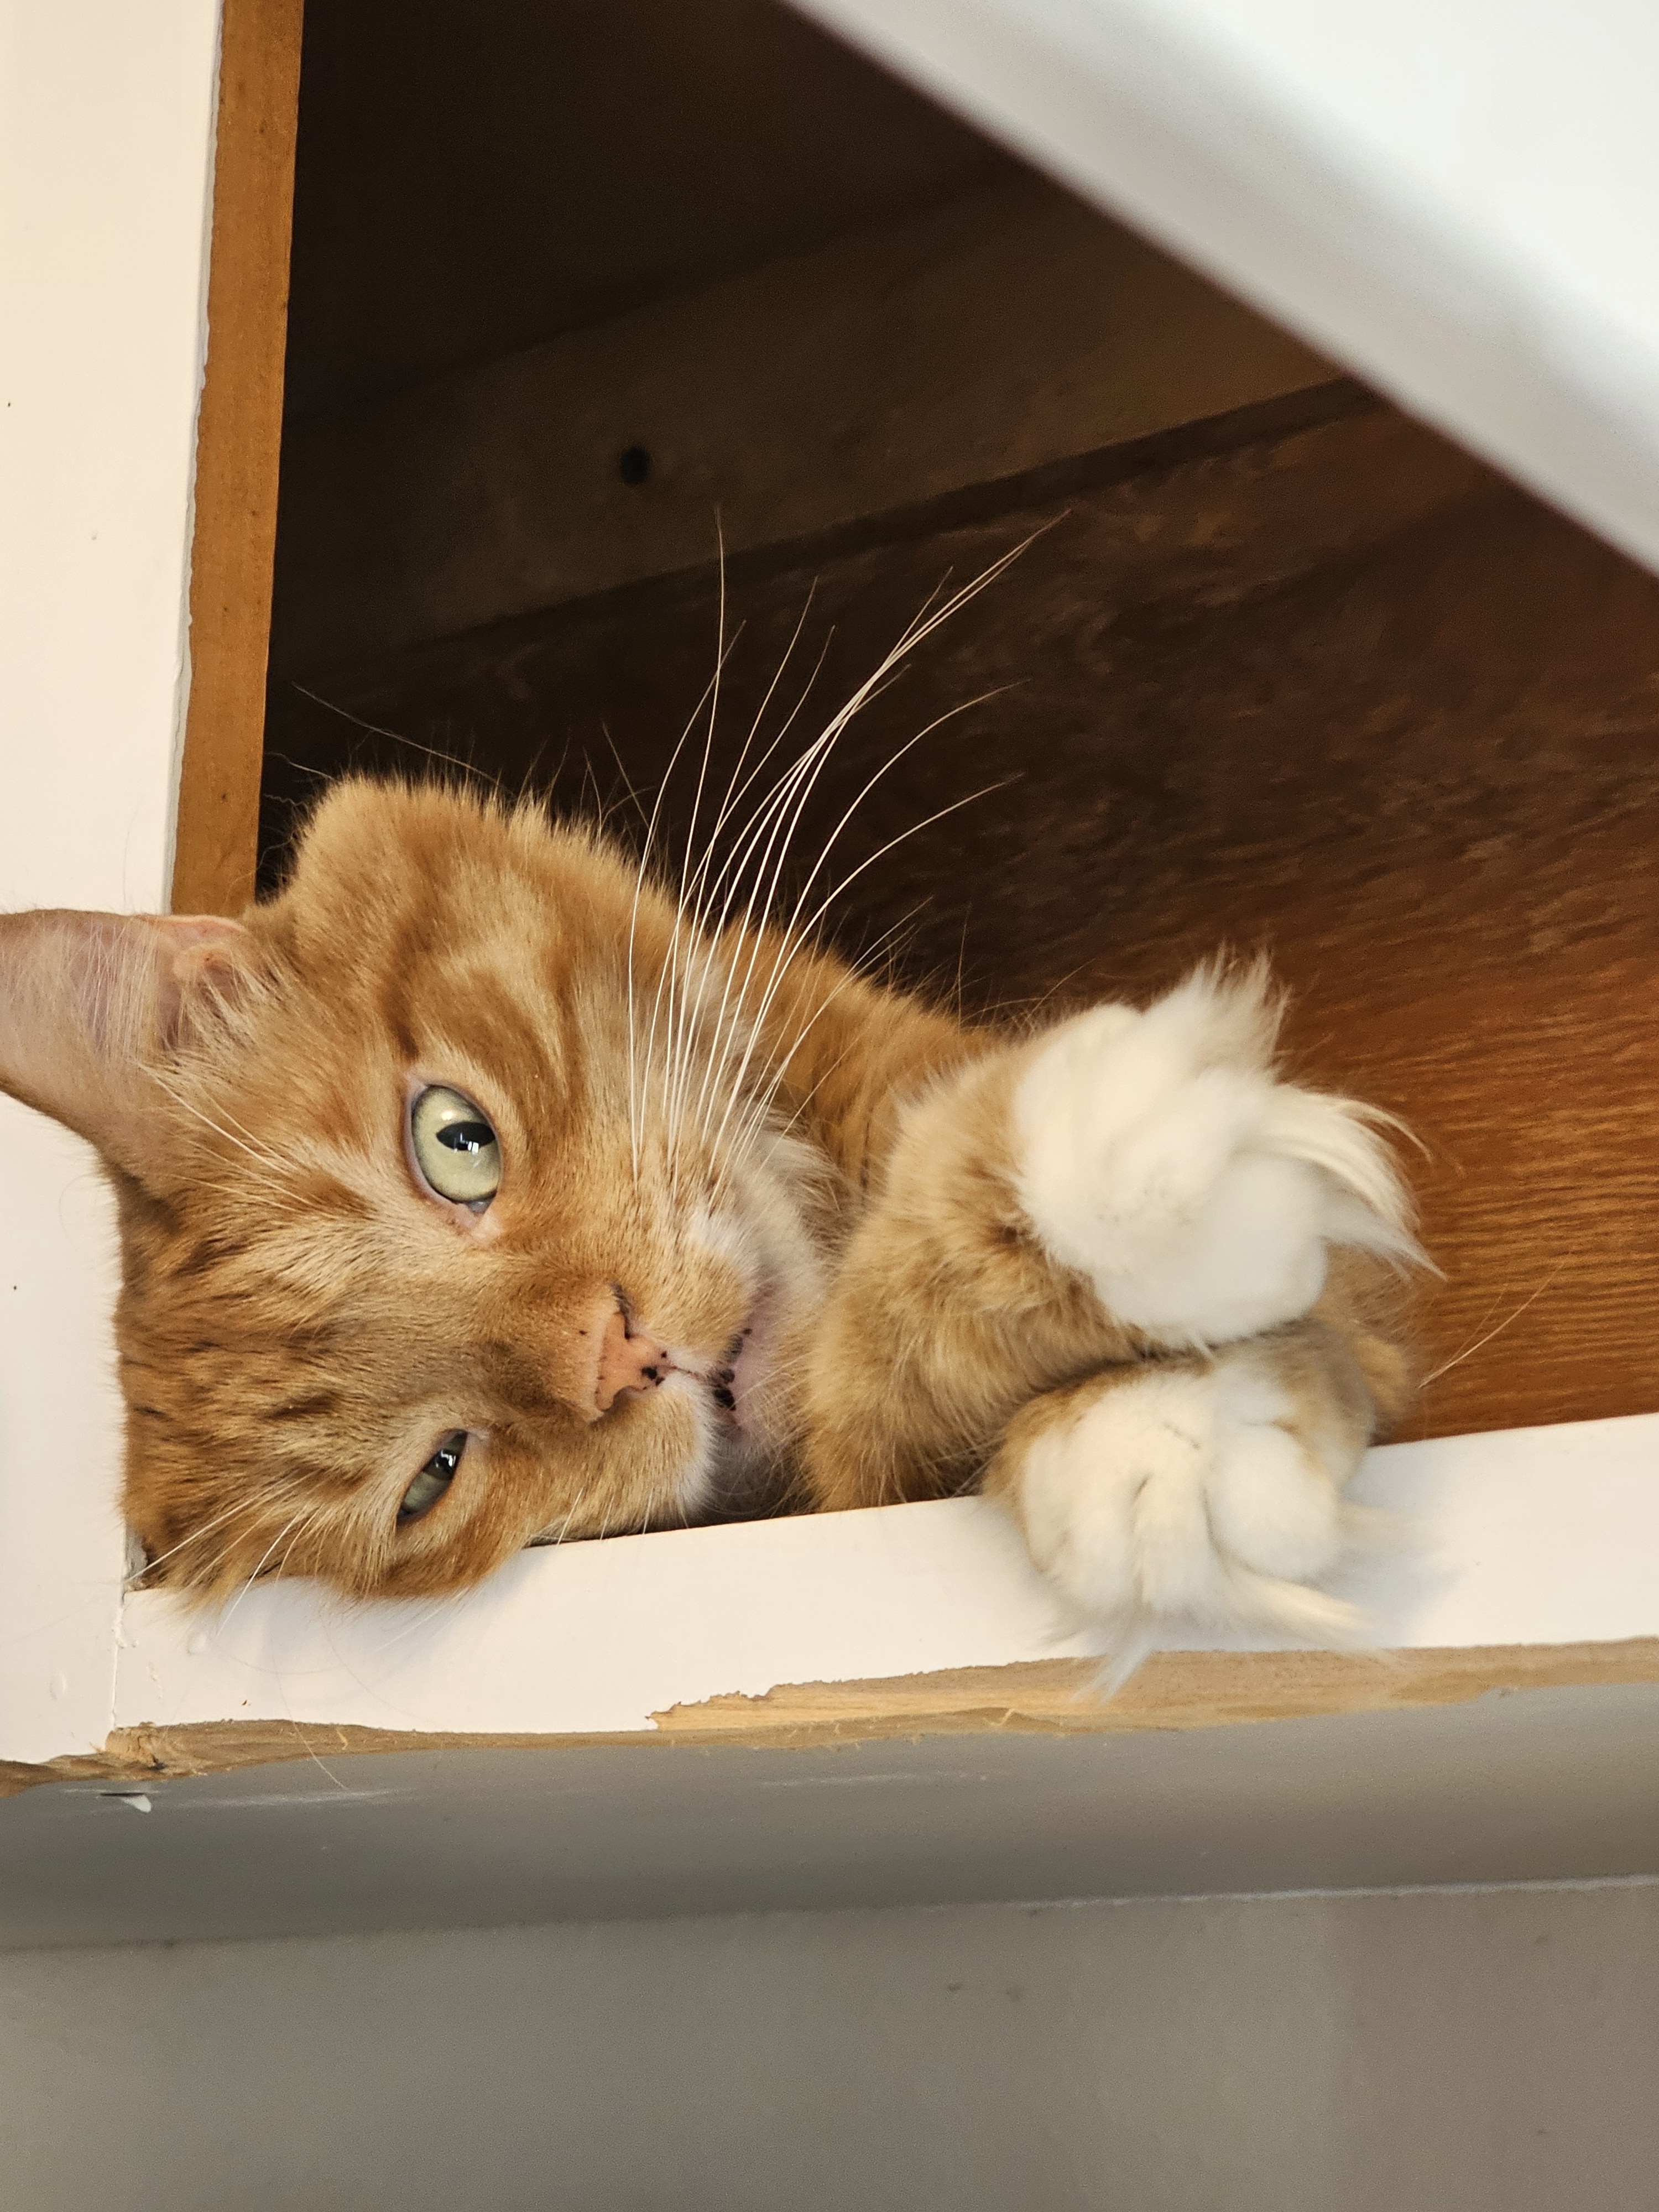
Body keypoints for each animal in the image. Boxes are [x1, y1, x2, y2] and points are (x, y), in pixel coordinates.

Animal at [0, 779, 1425, 1646]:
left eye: (453, 1142)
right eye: (436, 1477)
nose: (627, 1355)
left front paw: (1093, 1185)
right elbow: (872, 1405)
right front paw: (1150, 1438)